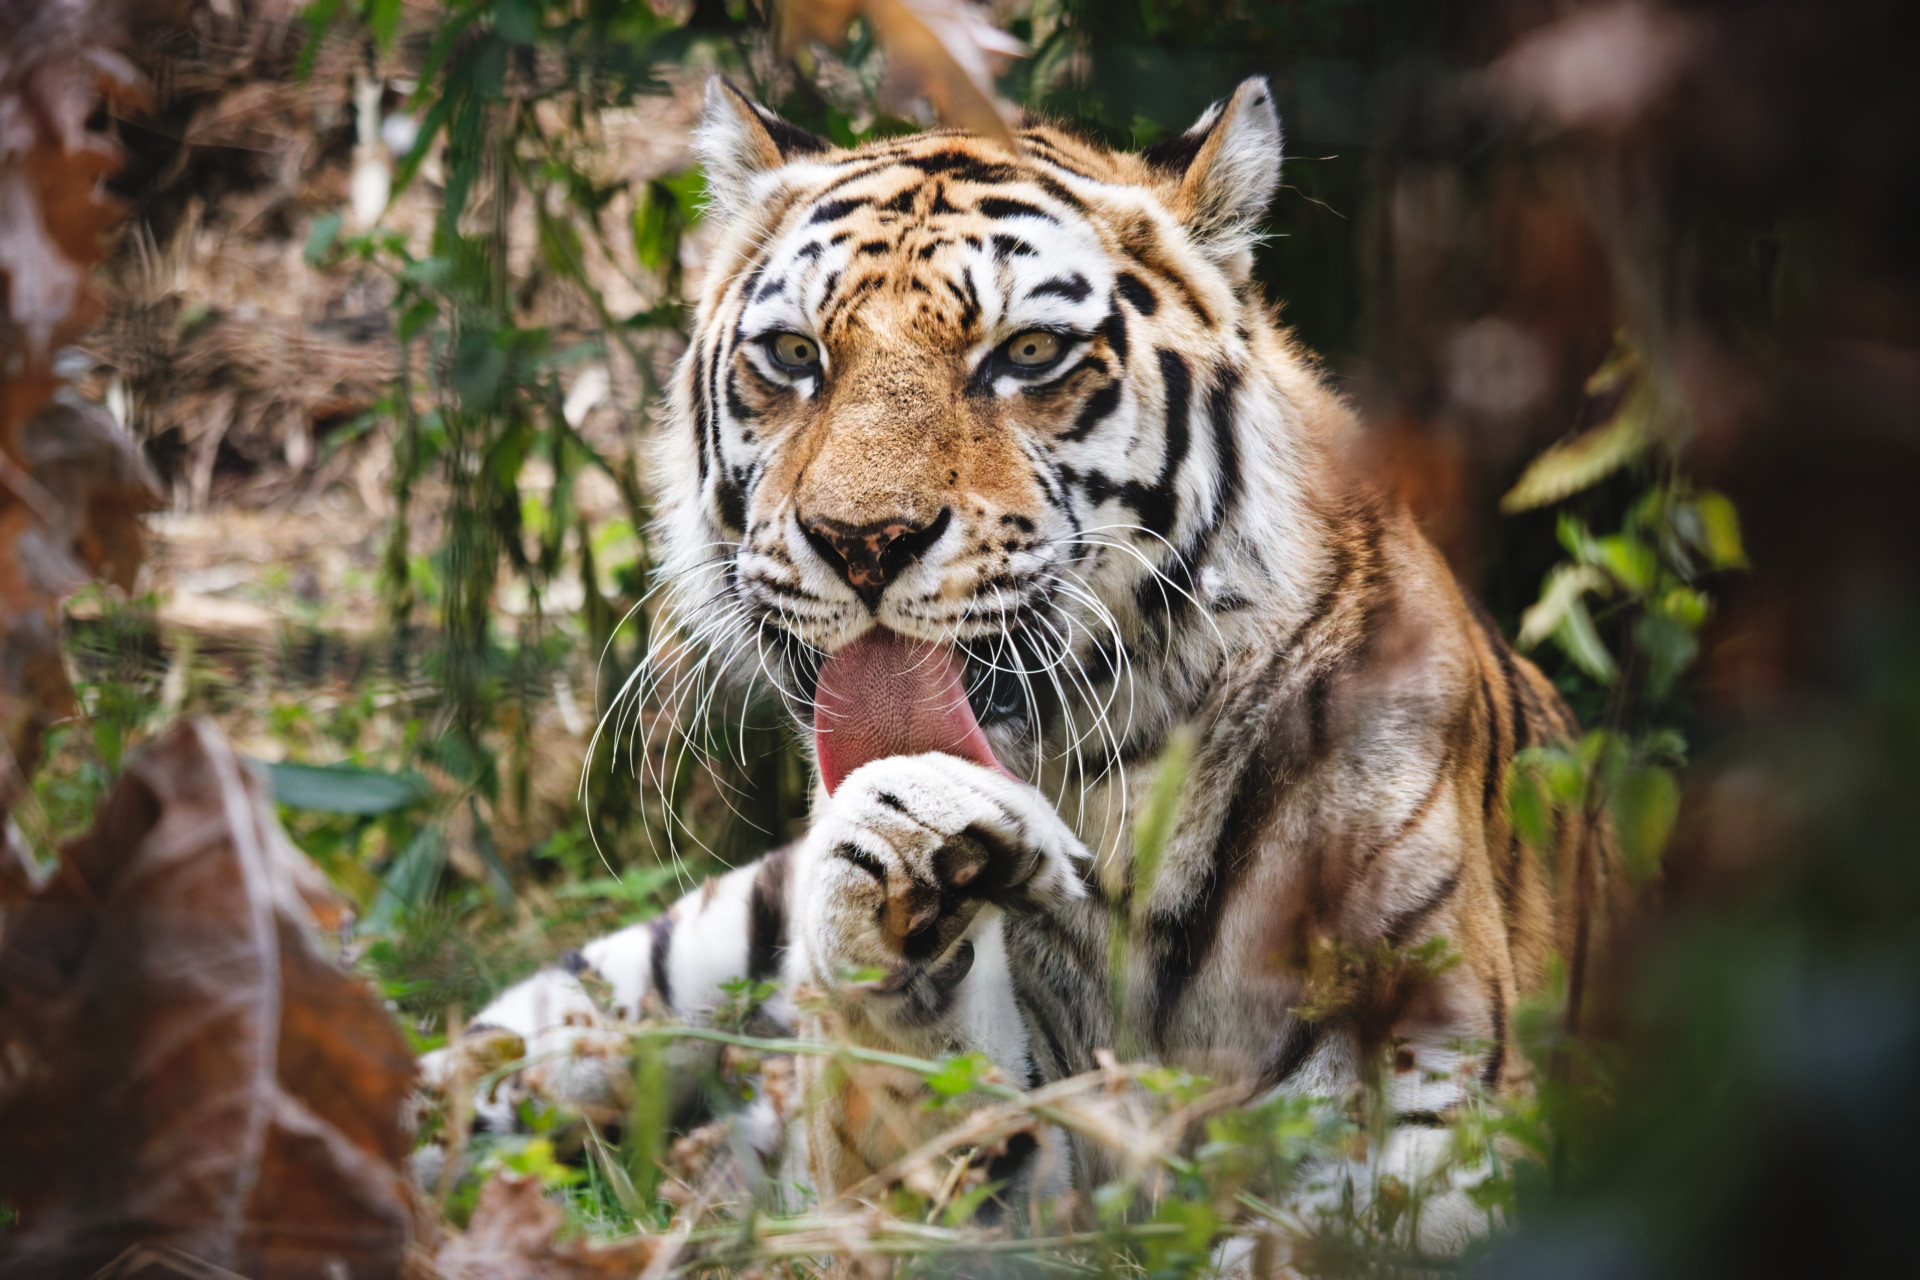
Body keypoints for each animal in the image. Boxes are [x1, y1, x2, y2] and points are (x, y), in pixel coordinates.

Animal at [460, 74, 1627, 1246]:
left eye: (1026, 354)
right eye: (794, 356)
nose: (861, 540)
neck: (1114, 781)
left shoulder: (1450, 1099)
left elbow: (1317, 1232)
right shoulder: (954, 1186)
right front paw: (908, 833)